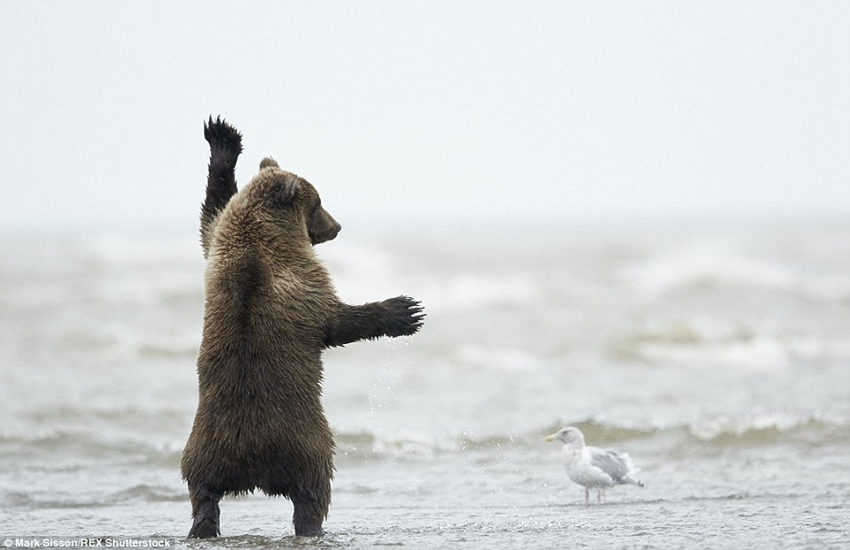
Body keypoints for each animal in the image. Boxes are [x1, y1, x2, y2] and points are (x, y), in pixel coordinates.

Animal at [180, 117, 424, 540]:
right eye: (318, 201)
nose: (337, 226)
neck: (262, 233)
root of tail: (250, 464)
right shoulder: (299, 280)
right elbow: (337, 321)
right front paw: (406, 310)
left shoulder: (219, 250)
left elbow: (211, 214)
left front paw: (223, 137)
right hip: (304, 441)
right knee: (313, 491)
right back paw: (313, 526)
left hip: (205, 447)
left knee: (204, 495)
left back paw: (202, 527)